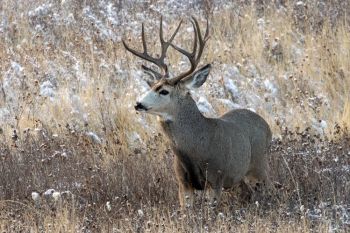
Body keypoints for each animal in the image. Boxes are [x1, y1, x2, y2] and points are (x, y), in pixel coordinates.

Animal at [123, 17, 274, 208]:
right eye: (151, 86)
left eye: (164, 91)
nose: (138, 104)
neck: (197, 147)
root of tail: (266, 124)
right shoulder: (183, 183)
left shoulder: (216, 178)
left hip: (259, 167)